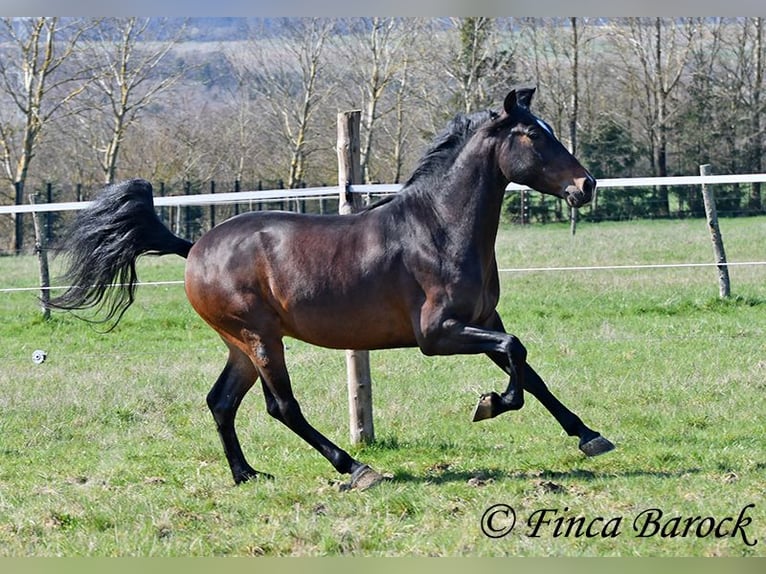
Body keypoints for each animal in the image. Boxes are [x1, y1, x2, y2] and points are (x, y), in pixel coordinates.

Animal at [50, 86, 614, 490]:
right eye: (533, 134)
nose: (585, 186)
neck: (439, 227)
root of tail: (194, 249)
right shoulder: (438, 334)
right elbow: (517, 354)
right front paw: (490, 403)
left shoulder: (481, 320)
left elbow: (530, 369)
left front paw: (589, 436)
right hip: (259, 338)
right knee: (281, 408)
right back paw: (356, 469)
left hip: (240, 345)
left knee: (221, 402)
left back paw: (247, 475)